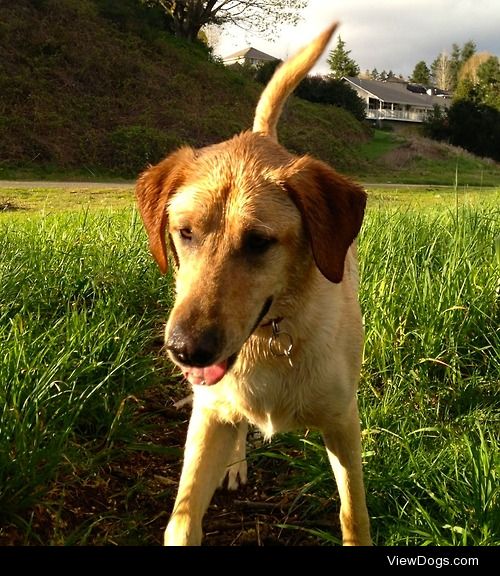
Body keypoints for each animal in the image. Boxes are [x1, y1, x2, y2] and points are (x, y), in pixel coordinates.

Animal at [137, 22, 372, 544]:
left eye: (259, 242)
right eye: (184, 232)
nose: (185, 350)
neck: (271, 340)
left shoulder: (343, 424)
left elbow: (353, 513)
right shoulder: (207, 418)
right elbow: (182, 519)